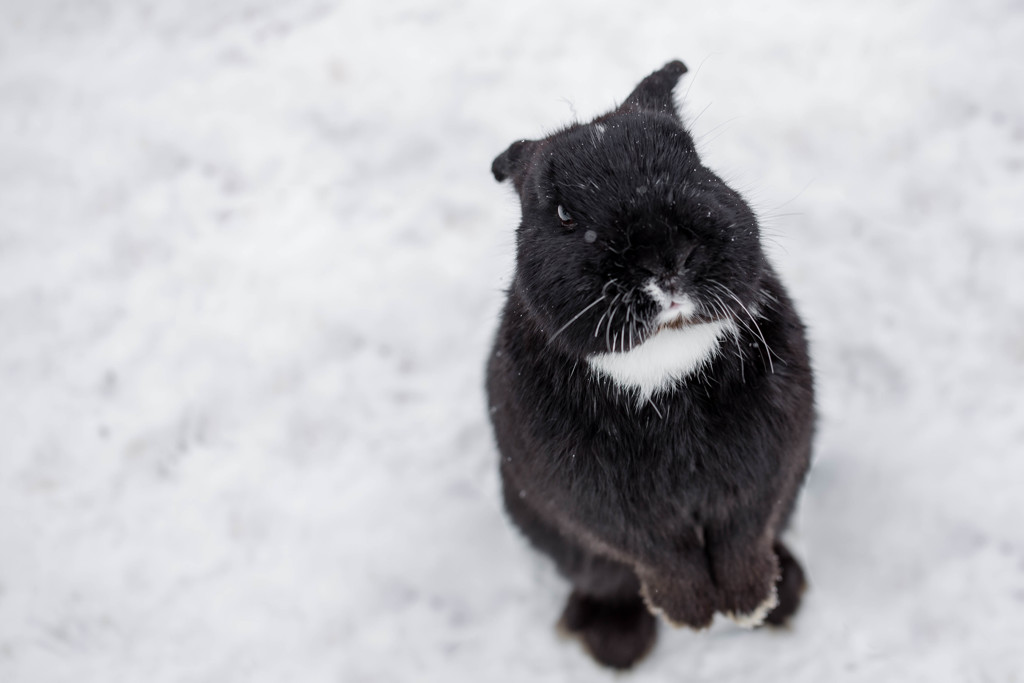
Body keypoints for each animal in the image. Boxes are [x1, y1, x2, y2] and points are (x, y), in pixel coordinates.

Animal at [487, 61, 815, 671]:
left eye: (693, 162)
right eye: (562, 213)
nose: (666, 258)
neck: (664, 364)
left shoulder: (769, 466)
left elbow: (744, 530)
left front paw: (747, 603)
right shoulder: (596, 508)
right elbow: (655, 551)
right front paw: (691, 614)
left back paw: (786, 597)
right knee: (608, 580)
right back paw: (616, 645)